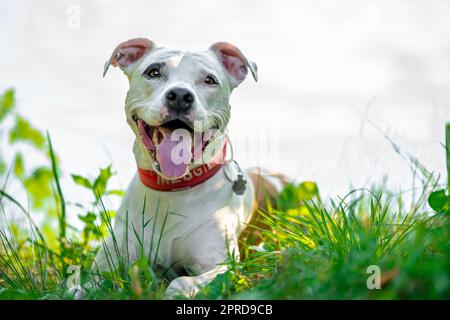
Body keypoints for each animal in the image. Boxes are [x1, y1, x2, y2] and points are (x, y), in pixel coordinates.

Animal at [96, 38, 286, 298]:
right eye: (153, 72)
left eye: (210, 80)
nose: (179, 95)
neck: (171, 190)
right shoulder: (112, 256)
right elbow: (82, 284)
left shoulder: (221, 265)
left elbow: (182, 281)